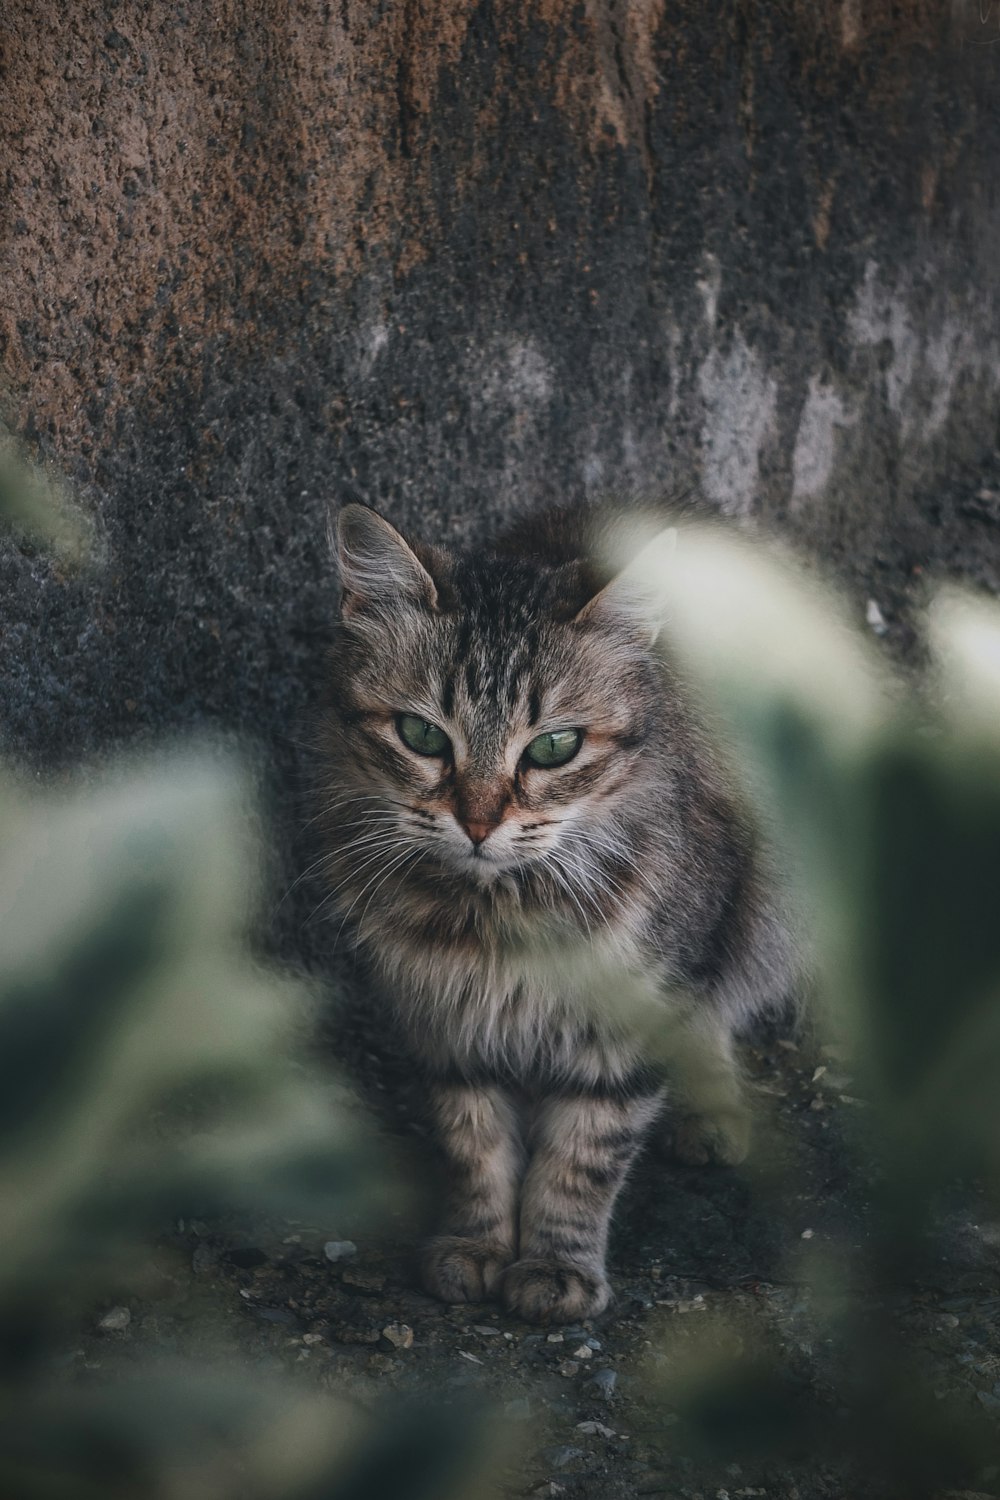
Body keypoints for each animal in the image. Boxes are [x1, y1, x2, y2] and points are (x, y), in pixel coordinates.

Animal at [316, 504, 803, 1326]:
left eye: (554, 747)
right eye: (422, 736)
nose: (478, 824)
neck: (497, 920)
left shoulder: (634, 1013)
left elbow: (581, 1159)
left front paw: (556, 1266)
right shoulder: (449, 1022)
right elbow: (474, 1145)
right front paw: (475, 1246)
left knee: (715, 1013)